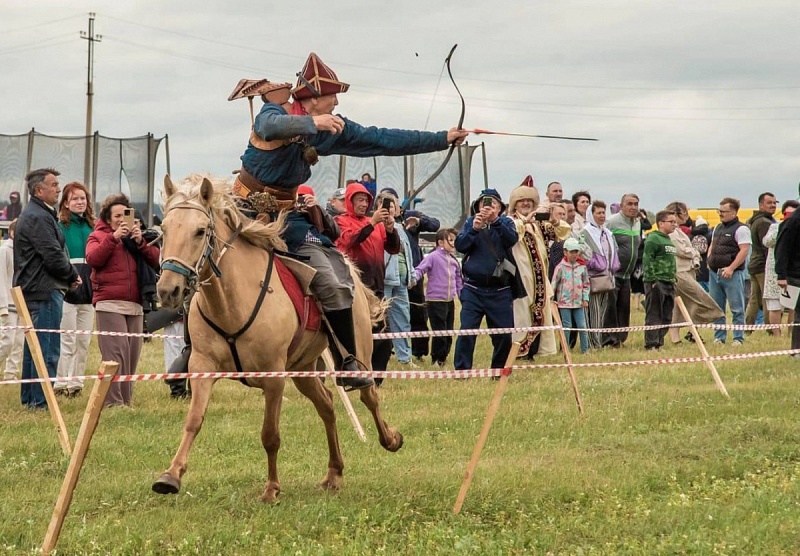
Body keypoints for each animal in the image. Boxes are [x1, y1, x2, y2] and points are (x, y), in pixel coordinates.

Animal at [151, 175, 404, 504]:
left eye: (199, 231)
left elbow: (270, 435)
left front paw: (271, 488)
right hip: (303, 368)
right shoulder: (202, 367)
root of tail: (352, 274)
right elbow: (194, 420)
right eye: (164, 231)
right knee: (327, 405)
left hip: (358, 351)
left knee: (368, 396)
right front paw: (170, 476)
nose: (169, 290)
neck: (231, 301)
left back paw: (390, 438)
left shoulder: (274, 378)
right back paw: (334, 472)